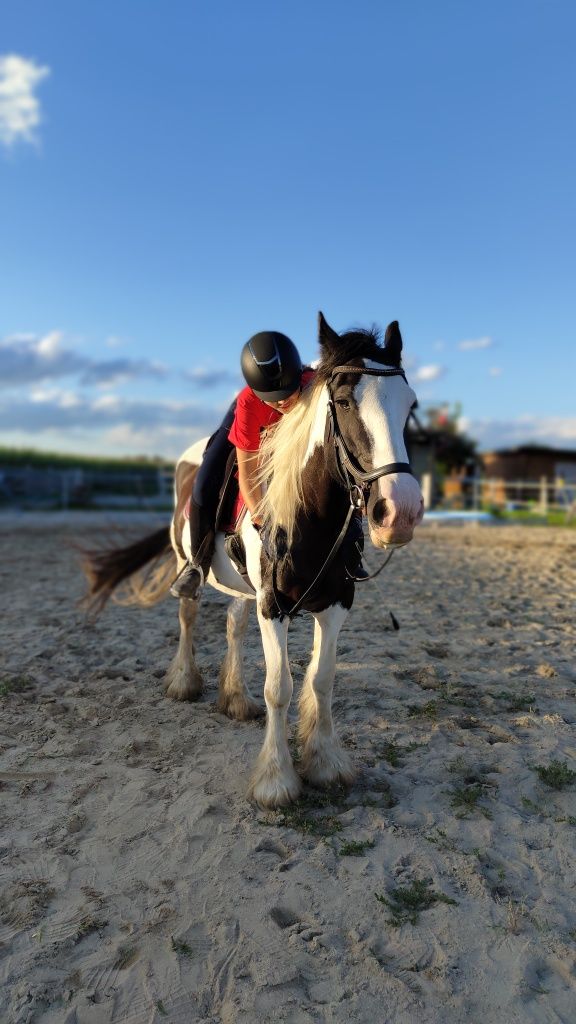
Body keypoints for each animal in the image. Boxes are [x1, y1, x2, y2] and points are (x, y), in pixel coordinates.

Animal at [81, 311, 422, 806]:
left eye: (410, 405)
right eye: (343, 401)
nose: (401, 510)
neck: (309, 521)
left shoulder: (336, 604)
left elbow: (322, 678)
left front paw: (326, 762)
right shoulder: (273, 606)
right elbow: (280, 687)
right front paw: (275, 780)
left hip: (244, 589)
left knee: (233, 626)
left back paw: (236, 699)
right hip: (193, 566)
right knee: (188, 616)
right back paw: (185, 682)